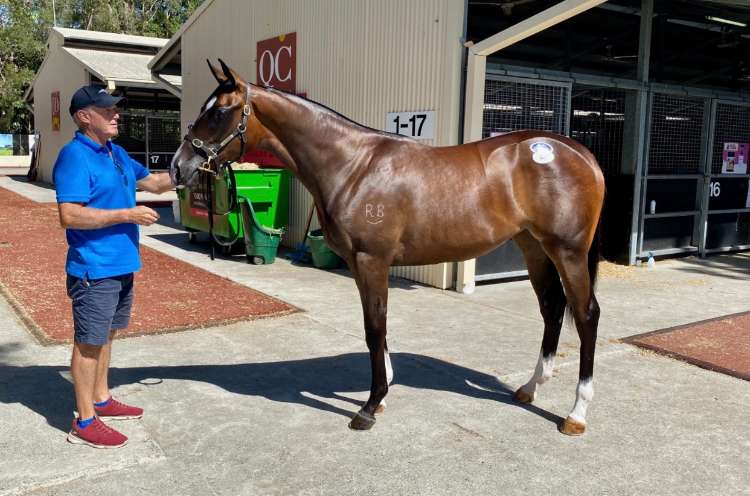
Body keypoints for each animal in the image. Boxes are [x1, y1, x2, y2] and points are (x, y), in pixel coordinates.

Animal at [171, 60, 605, 436]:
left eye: (220, 112)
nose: (178, 166)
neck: (354, 166)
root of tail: (579, 152)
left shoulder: (371, 260)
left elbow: (374, 327)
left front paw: (368, 406)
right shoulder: (361, 264)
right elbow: (375, 327)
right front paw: (381, 396)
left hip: (567, 251)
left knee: (586, 314)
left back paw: (576, 414)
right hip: (533, 247)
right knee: (552, 308)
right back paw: (530, 388)